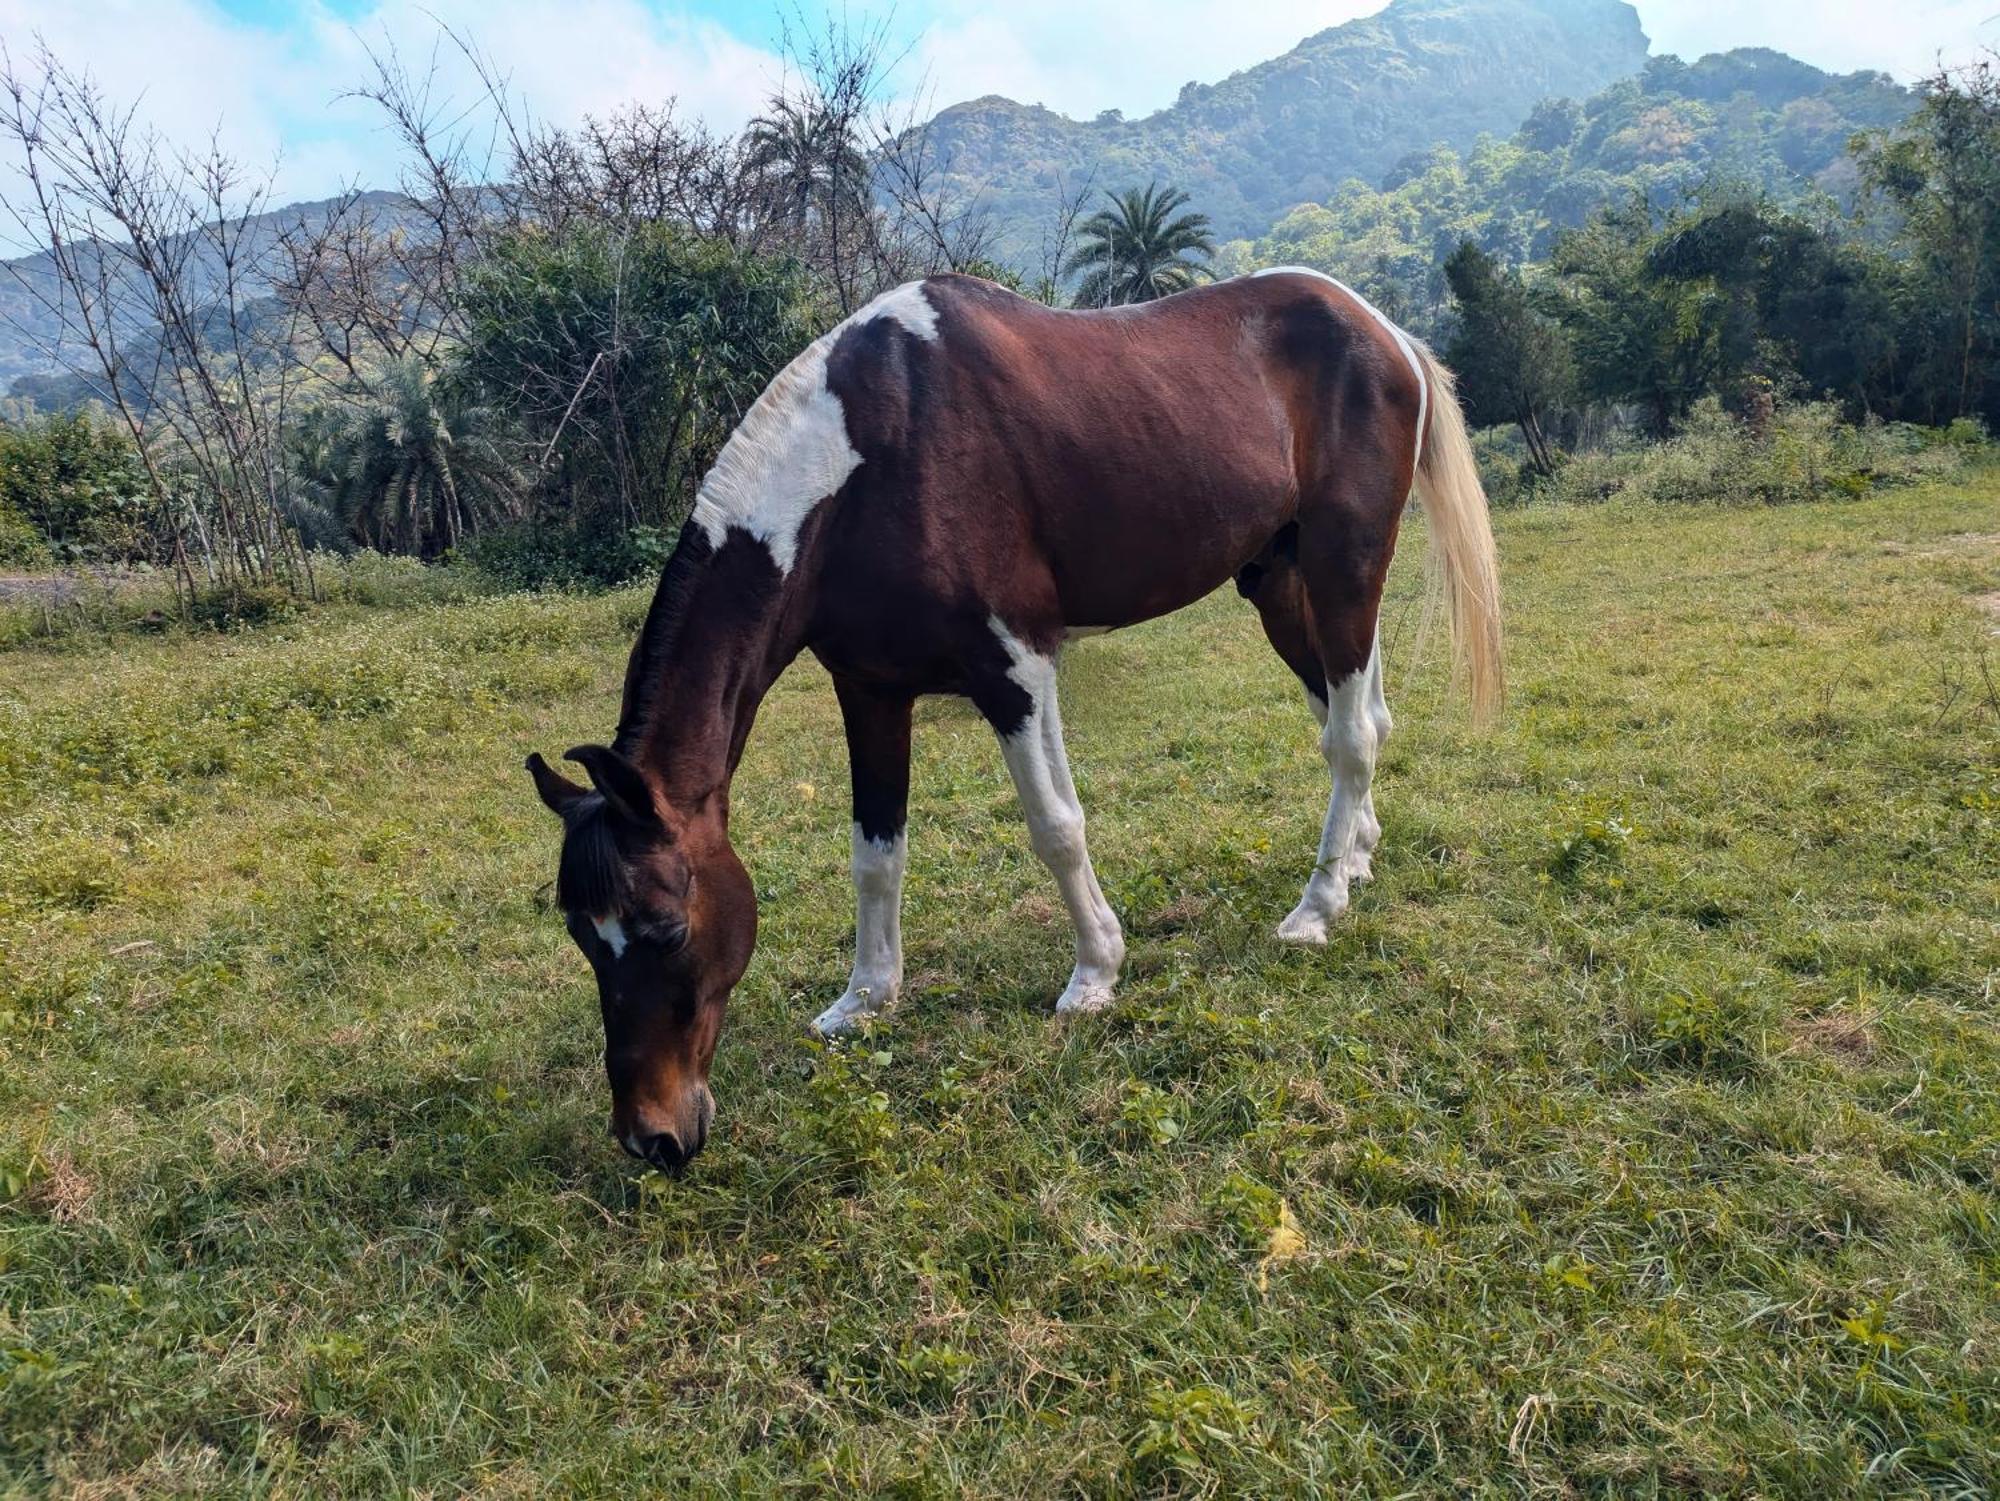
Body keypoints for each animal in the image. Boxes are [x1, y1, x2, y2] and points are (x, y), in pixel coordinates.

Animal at [532, 264, 1504, 1168]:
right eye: (582, 935)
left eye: (664, 928)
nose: (651, 1135)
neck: (863, 462)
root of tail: (1384, 330)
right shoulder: (871, 691)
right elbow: (875, 854)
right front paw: (866, 997)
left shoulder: (1015, 669)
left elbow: (1055, 826)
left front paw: (1095, 972)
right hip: (1283, 584)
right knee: (1361, 719)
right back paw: (1359, 857)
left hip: (1346, 569)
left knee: (1349, 736)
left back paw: (1318, 905)